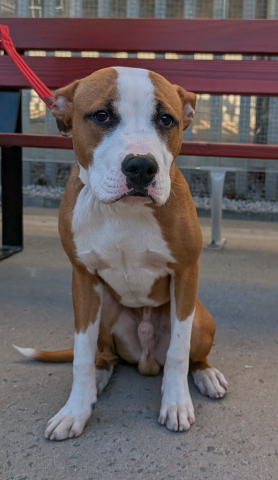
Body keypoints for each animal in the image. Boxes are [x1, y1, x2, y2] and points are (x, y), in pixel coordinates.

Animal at [15, 66, 227, 438]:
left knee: (192, 355)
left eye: (166, 119)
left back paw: (206, 375)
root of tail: (145, 359)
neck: (123, 212)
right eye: (101, 115)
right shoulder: (82, 279)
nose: (141, 166)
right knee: (104, 357)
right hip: (102, 313)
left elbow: (179, 351)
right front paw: (76, 410)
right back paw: (96, 383)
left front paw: (175, 403)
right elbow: (82, 357)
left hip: (201, 319)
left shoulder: (187, 271)